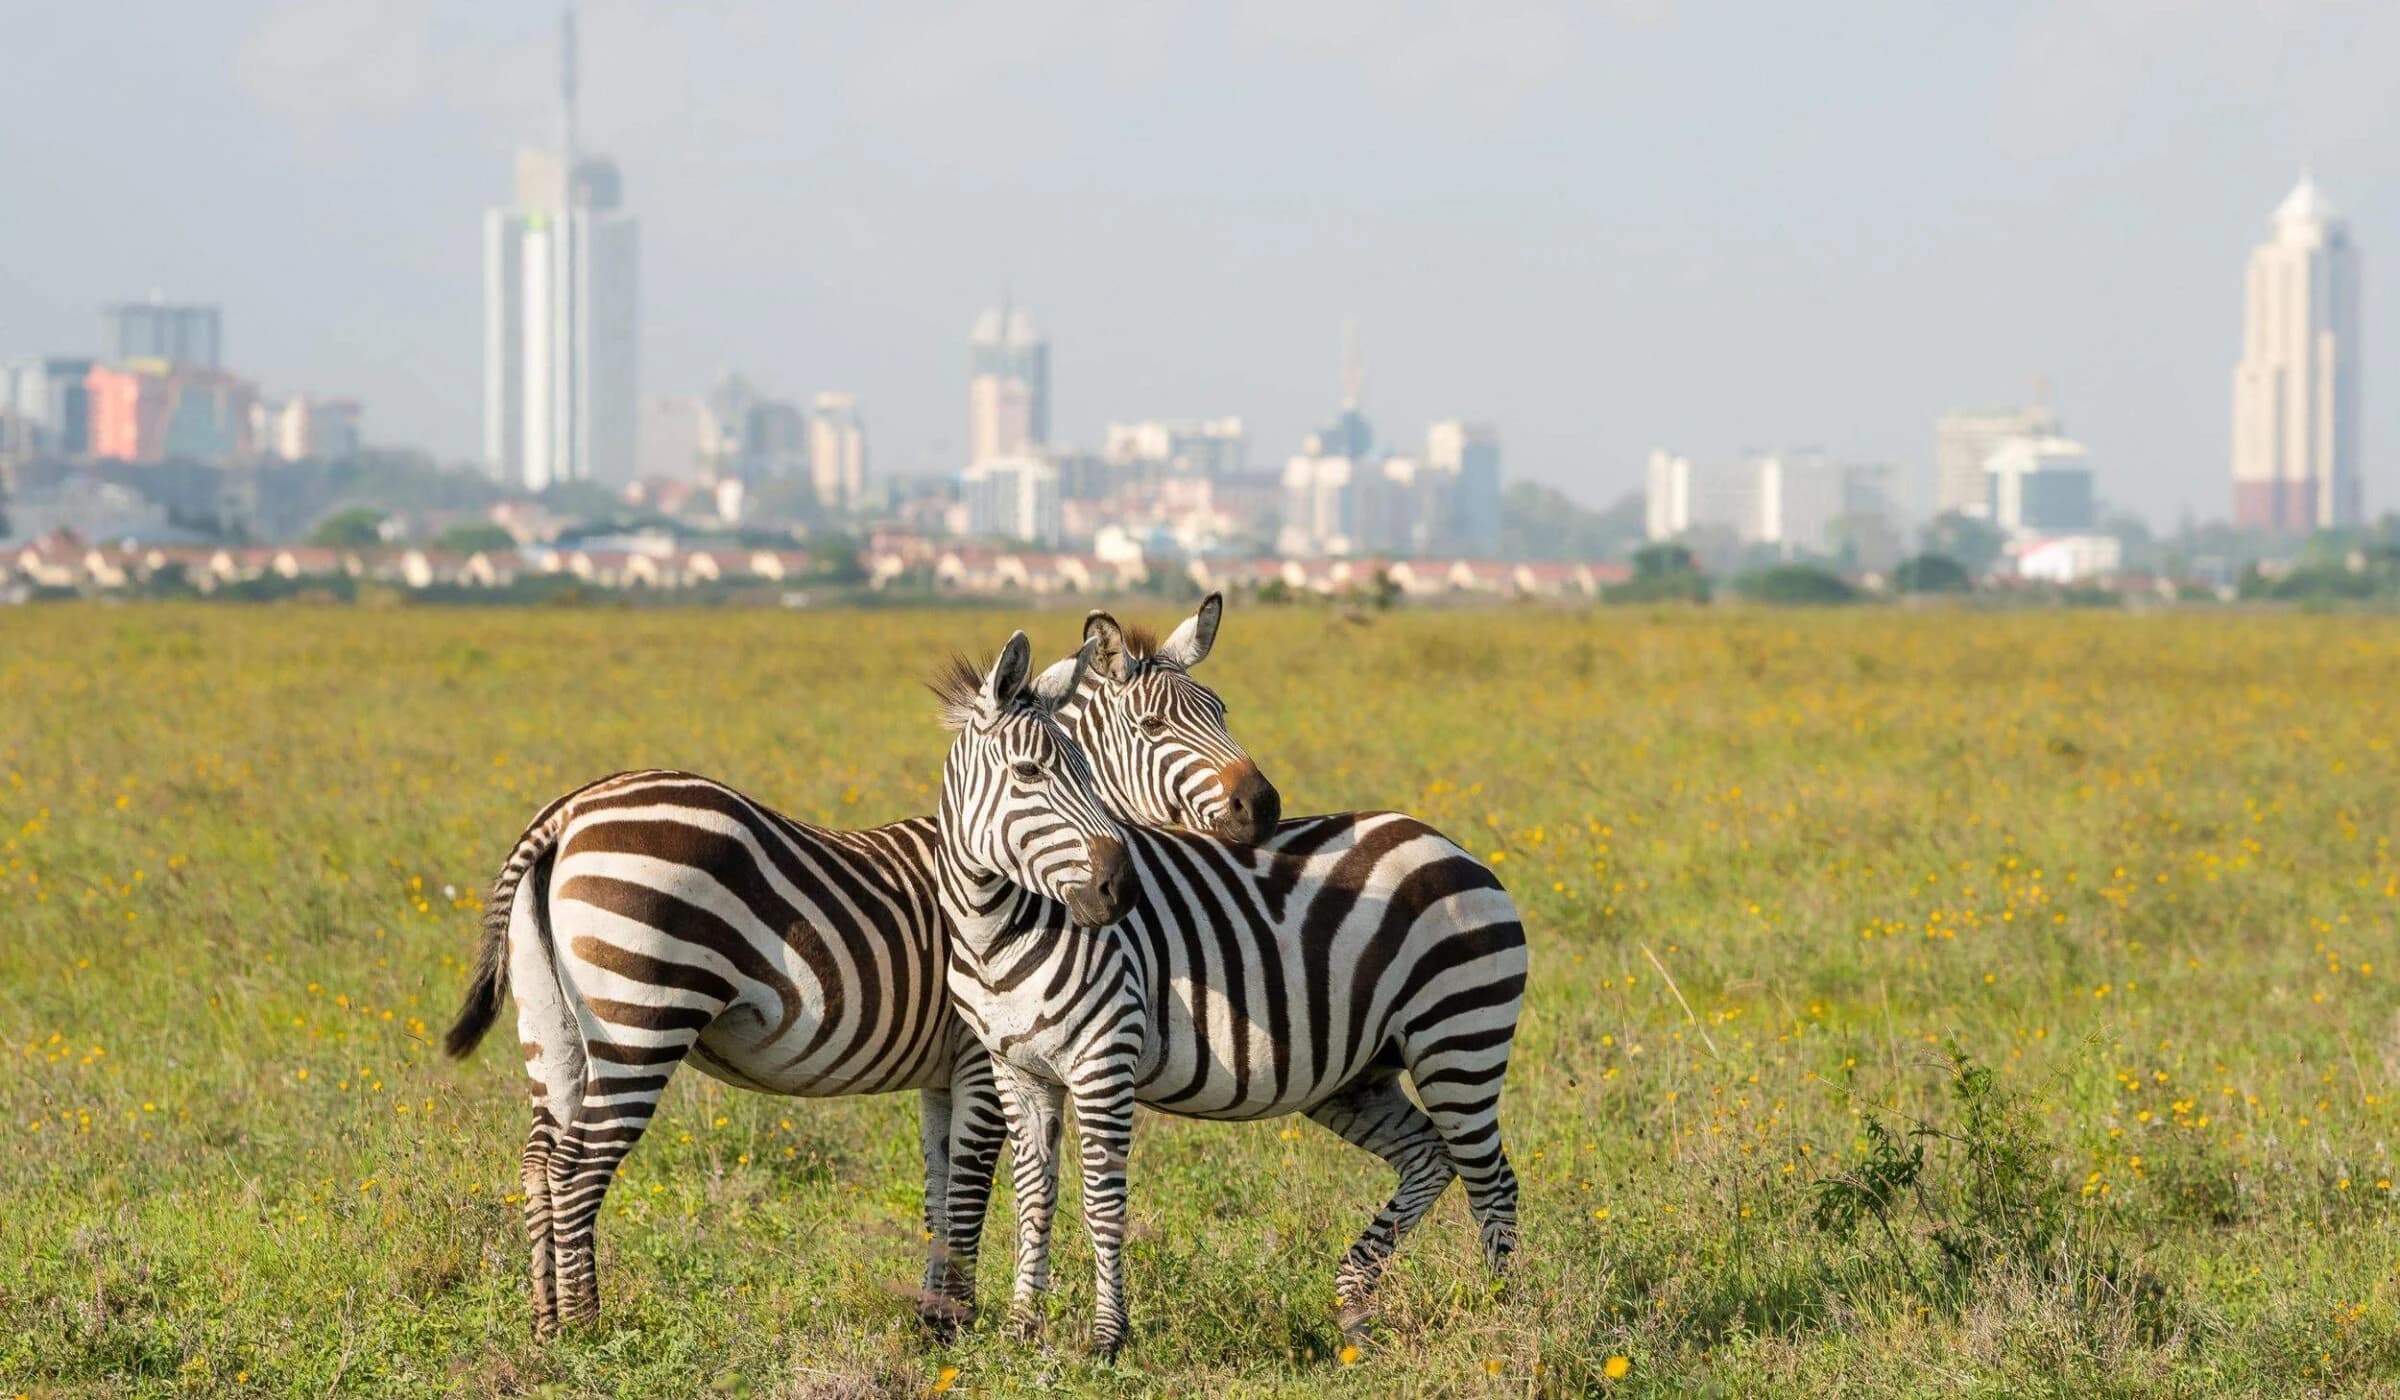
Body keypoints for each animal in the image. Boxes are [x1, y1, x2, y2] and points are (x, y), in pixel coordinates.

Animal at [441, 597, 1278, 1338]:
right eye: (1154, 726)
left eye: (1223, 709)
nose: (1264, 808)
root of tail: (567, 813)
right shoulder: (980, 1057)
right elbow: (972, 1184)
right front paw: (957, 1320)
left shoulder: (944, 1073)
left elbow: (941, 1188)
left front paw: (936, 1316)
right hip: (640, 1018)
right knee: (578, 1168)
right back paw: (587, 1328)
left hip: (552, 1025)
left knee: (540, 1160)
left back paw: (546, 1323)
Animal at [933, 633, 1527, 1359]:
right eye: (1027, 773)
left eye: (1087, 775)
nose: (1119, 891)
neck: (998, 930)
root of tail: (1450, 845)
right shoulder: (1017, 1069)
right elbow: (1033, 1196)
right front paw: (1022, 1329)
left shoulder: (1104, 1061)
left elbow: (1102, 1201)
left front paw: (1107, 1338)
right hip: (1358, 1076)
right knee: (1430, 1156)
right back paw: (1355, 1303)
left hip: (1459, 1039)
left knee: (1491, 1180)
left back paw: (1503, 1319)